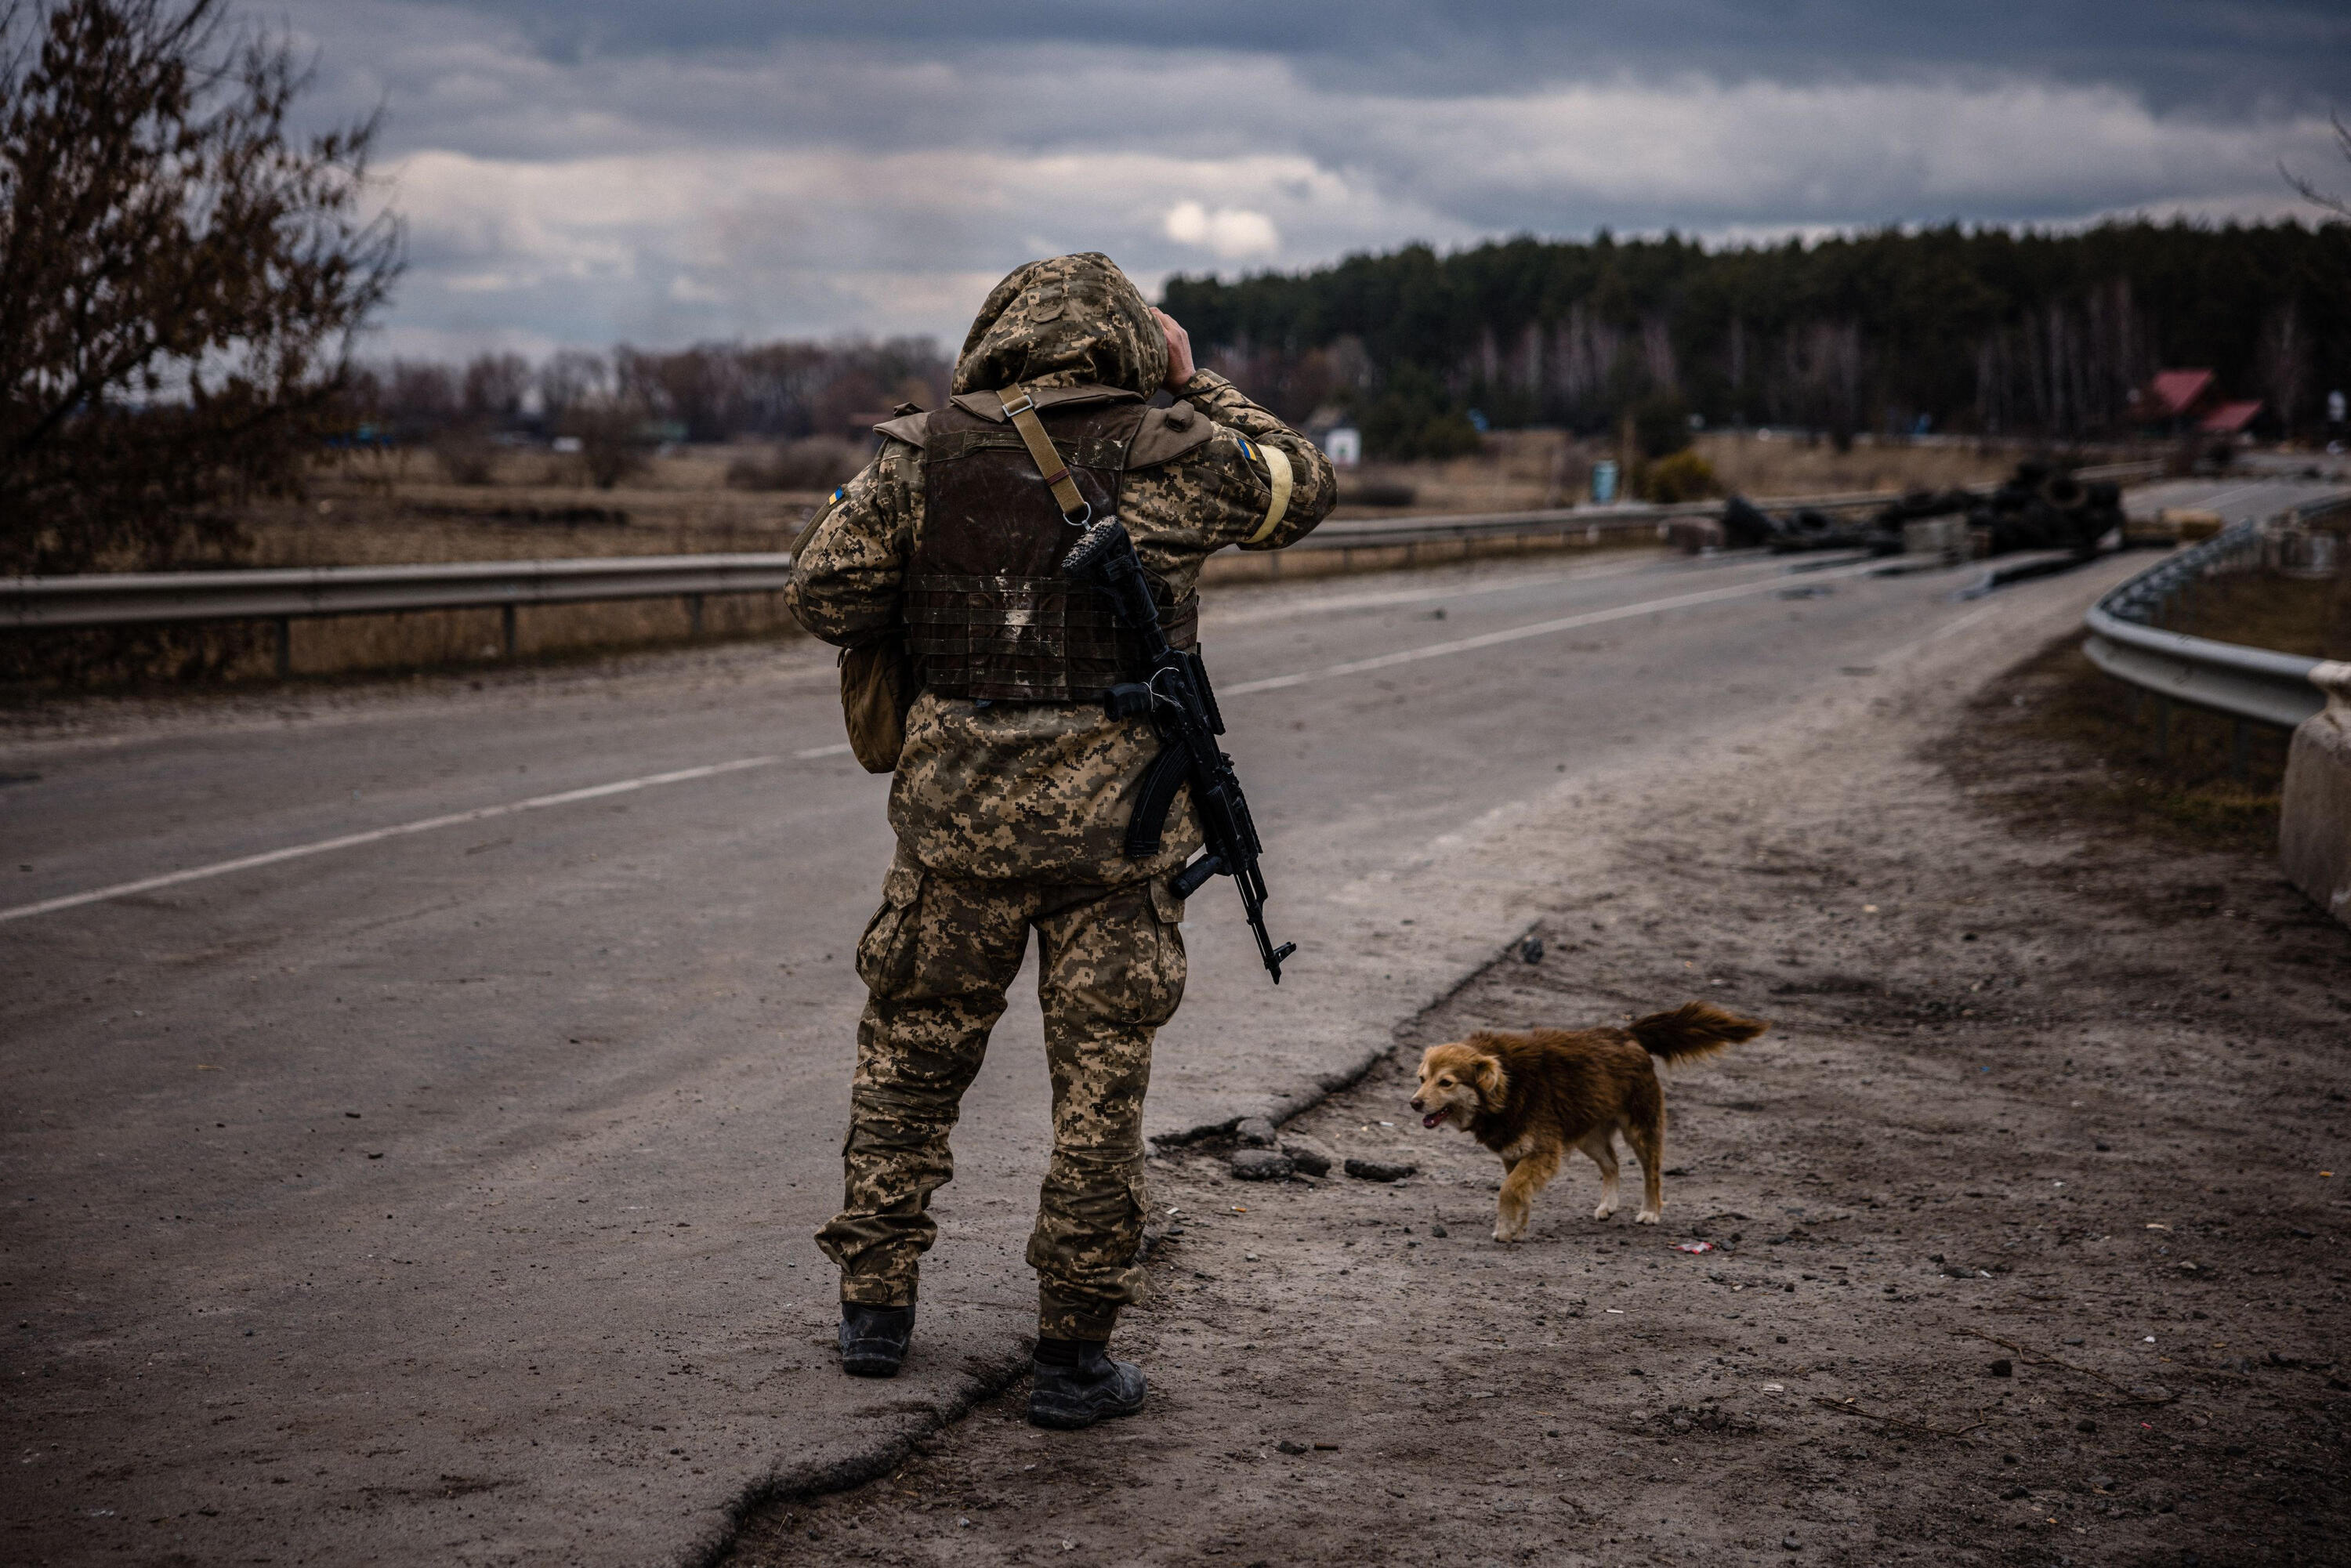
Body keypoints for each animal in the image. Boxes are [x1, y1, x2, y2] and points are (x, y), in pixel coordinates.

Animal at [1411, 1006, 1768, 1251]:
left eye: (1446, 1082)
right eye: (1422, 1078)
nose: (1414, 1103)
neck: (1505, 1087)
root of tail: (1628, 1035)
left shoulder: (1543, 1152)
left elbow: (1509, 1190)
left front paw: (1505, 1230)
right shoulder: (1515, 1154)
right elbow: (1519, 1192)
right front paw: (1518, 1228)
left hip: (1641, 1127)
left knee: (1651, 1172)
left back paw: (1650, 1211)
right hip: (1589, 1134)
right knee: (1612, 1164)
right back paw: (1608, 1205)